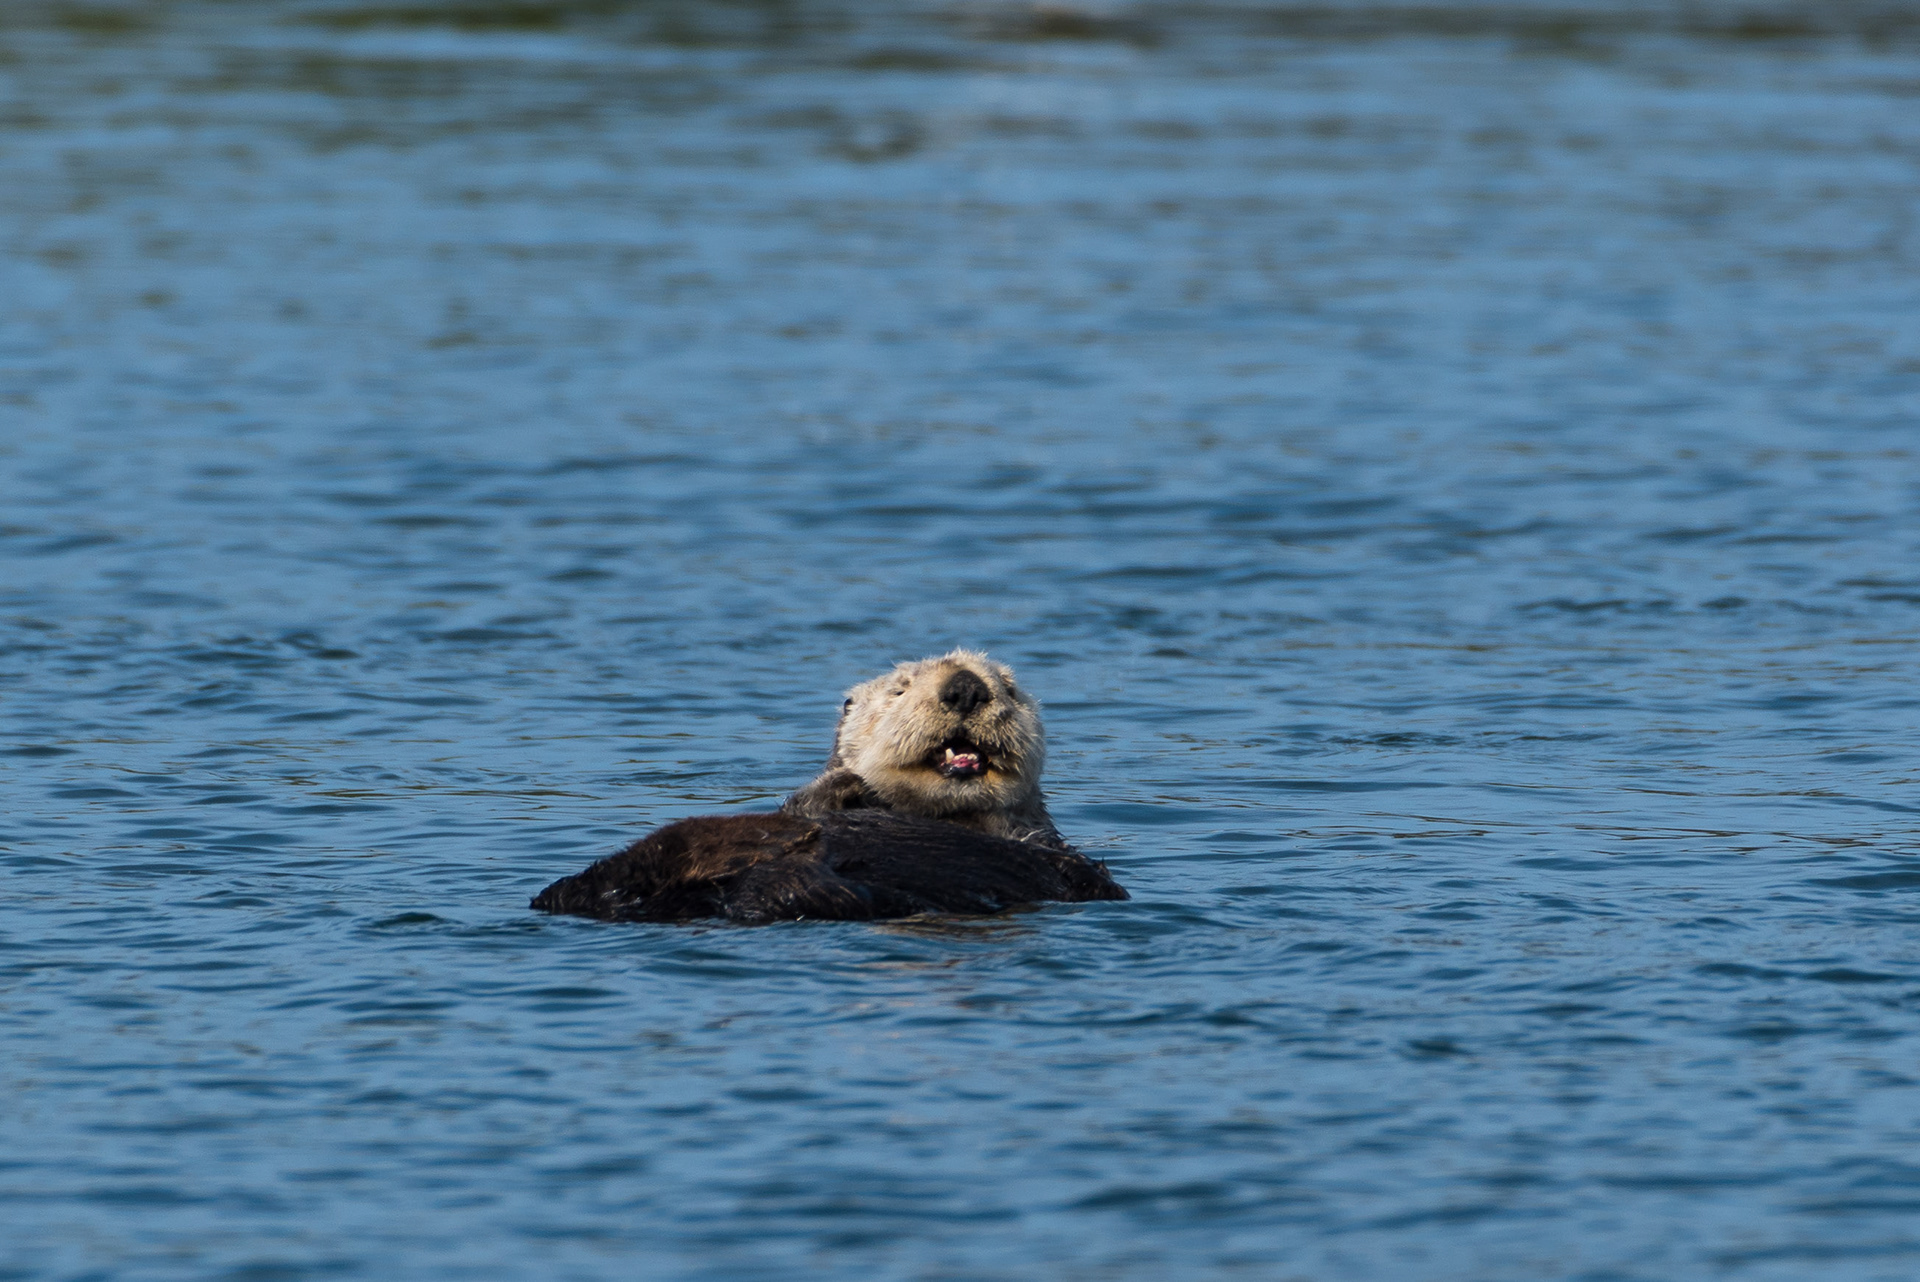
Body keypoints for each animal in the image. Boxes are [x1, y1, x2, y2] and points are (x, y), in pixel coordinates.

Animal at [531, 651, 1125, 924]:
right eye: (900, 689)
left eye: (1008, 687)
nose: (964, 688)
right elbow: (806, 798)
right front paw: (843, 782)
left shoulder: (1058, 854)